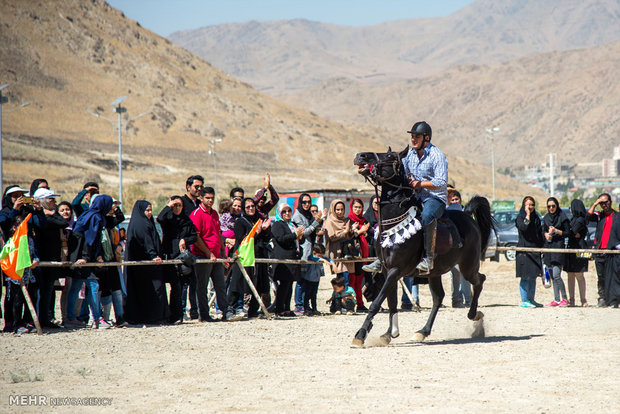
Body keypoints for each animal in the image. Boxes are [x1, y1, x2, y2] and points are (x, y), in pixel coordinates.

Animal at [354, 147, 494, 348]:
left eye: (389, 156)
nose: (360, 156)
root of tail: (467, 216)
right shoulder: (387, 270)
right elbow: (391, 302)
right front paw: (389, 333)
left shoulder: (395, 270)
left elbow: (377, 302)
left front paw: (360, 335)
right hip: (434, 273)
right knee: (439, 297)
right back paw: (423, 332)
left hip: (468, 266)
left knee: (479, 280)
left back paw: (474, 315)